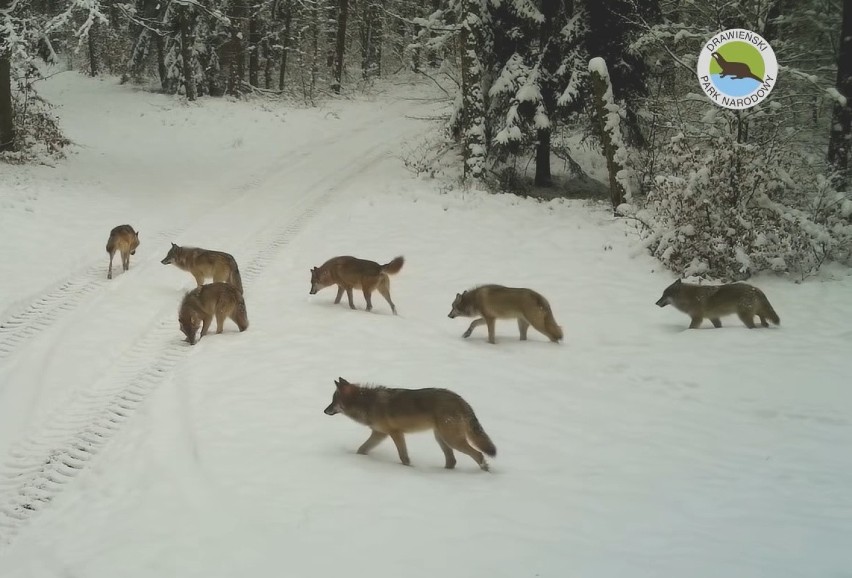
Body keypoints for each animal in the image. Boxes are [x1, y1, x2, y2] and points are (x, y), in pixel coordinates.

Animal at [326, 376, 500, 470]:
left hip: (452, 440)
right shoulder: (379, 434)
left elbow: (403, 456)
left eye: (333, 401)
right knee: (452, 461)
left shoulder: (395, 433)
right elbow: (361, 449)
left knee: (478, 454)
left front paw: (408, 468)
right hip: (441, 439)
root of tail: (461, 400)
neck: (367, 403)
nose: (324, 411)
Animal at [656, 280, 784, 328]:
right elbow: (718, 326)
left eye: (664, 295)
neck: (688, 298)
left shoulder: (697, 318)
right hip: (752, 311)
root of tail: (754, 288)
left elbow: (690, 328)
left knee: (754, 324)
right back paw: (764, 324)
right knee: (762, 315)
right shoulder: (713, 317)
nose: (655, 303)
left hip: (743, 315)